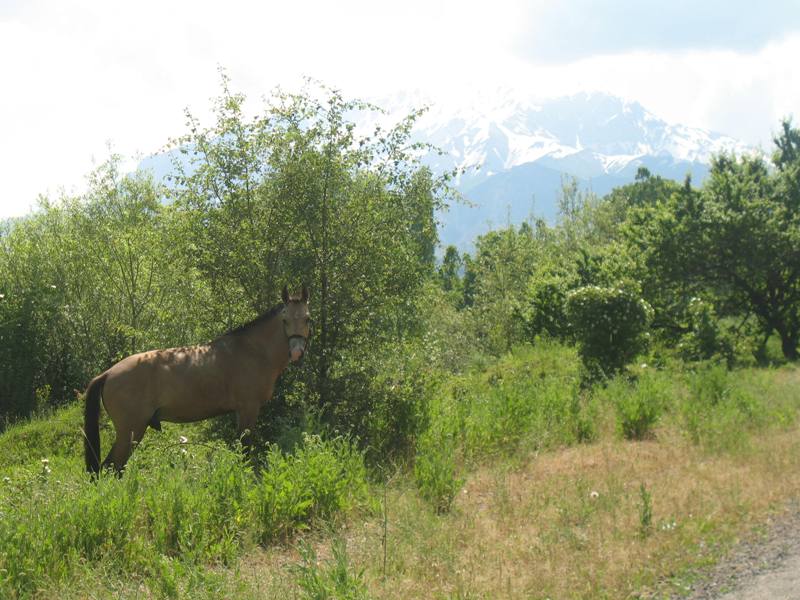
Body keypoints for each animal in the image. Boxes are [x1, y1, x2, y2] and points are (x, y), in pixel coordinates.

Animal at [83, 284, 310, 476]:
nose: (297, 351)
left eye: (307, 318)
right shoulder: (248, 409)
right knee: (110, 468)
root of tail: (108, 373)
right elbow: (245, 449)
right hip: (131, 431)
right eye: (285, 320)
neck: (253, 351)